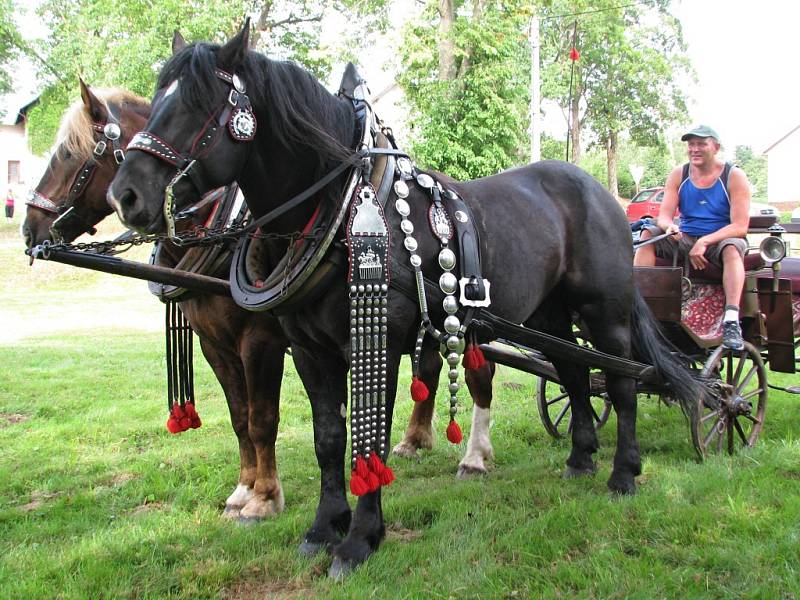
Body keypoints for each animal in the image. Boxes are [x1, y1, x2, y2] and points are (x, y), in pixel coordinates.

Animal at [109, 24, 704, 576]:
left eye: (197, 104)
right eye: (156, 100)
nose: (126, 195)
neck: (342, 206)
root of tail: (604, 193)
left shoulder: (376, 342)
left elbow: (368, 438)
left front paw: (360, 540)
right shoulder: (307, 350)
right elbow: (329, 438)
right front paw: (323, 528)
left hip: (606, 312)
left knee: (621, 382)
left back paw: (623, 473)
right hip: (552, 316)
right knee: (577, 375)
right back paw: (580, 458)